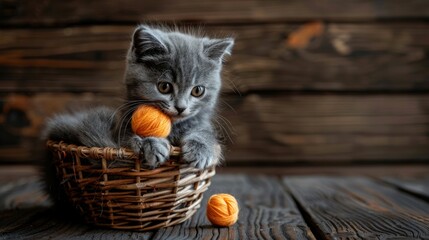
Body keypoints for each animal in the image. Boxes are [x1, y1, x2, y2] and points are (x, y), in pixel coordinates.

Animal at [42, 25, 234, 169]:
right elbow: (129, 139)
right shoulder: (120, 130)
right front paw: (152, 143)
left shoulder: (201, 123)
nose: (181, 107)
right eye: (164, 87)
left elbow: (205, 132)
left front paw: (201, 149)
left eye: (198, 91)